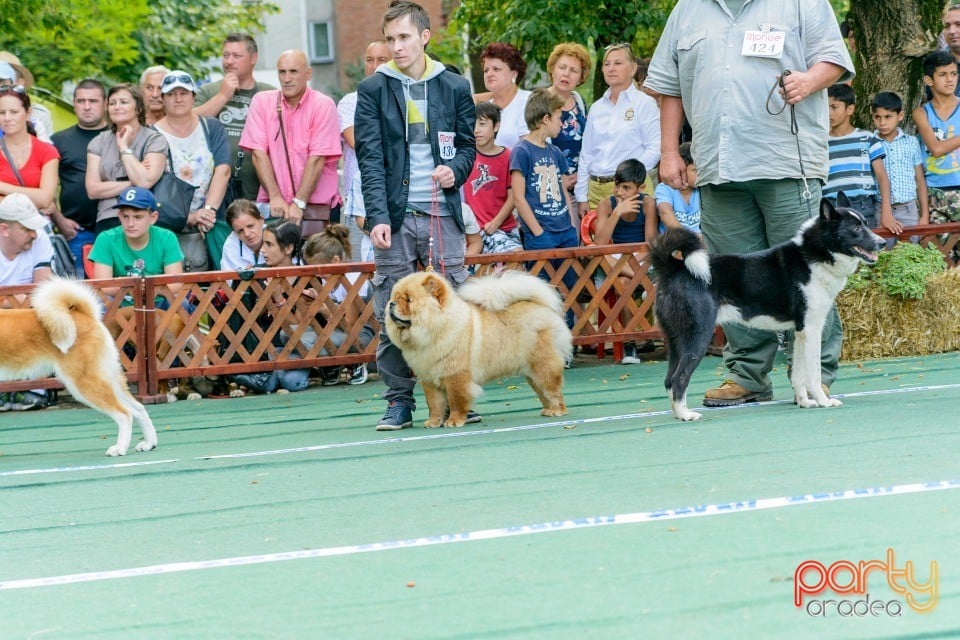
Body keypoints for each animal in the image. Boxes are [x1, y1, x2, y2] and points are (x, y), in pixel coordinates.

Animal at [652, 198, 884, 422]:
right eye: (856, 228)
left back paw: (678, 413)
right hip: (698, 337)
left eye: (866, 223)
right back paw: (686, 415)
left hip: (677, 341)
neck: (814, 255)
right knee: (679, 379)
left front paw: (804, 402)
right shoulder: (812, 330)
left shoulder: (800, 333)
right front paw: (823, 401)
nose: (882, 243)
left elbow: (798, 374)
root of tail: (674, 269)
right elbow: (814, 374)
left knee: (668, 381)